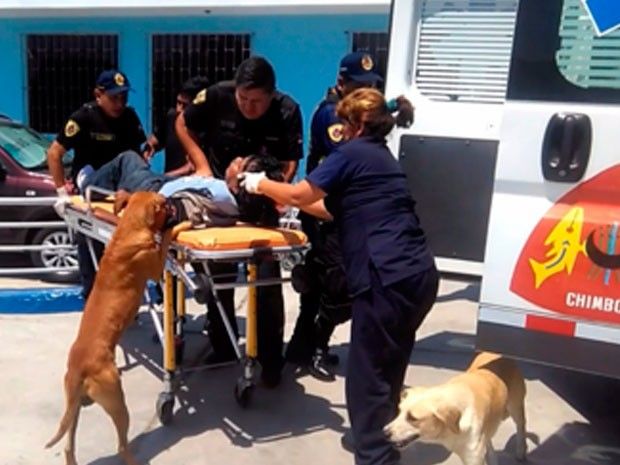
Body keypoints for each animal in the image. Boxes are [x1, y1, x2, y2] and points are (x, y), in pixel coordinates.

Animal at [45, 191, 190, 464]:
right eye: (165, 204)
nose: (174, 205)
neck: (129, 229)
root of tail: (79, 369)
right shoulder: (155, 266)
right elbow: (165, 239)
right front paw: (177, 227)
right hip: (117, 402)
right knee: (122, 445)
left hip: (74, 409)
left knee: (69, 446)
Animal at [386, 352, 524, 464]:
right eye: (399, 411)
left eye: (413, 418)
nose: (385, 432)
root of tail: (496, 354)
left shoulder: (473, 458)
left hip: (516, 408)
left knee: (520, 427)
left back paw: (520, 452)